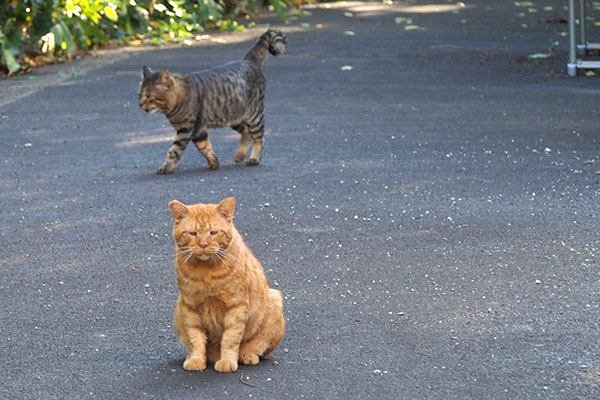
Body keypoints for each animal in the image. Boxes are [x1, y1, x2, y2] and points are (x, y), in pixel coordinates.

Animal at [138, 26, 286, 173]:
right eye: (139, 95)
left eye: (149, 96)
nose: (140, 105)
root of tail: (248, 60)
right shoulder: (198, 131)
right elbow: (205, 148)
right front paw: (214, 162)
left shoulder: (186, 130)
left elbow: (174, 151)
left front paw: (166, 167)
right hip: (234, 117)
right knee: (246, 133)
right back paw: (240, 155)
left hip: (254, 116)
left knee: (259, 138)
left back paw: (254, 158)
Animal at [166, 198, 284, 374]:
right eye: (192, 233)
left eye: (213, 233)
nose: (203, 244)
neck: (206, 272)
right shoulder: (190, 307)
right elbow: (196, 339)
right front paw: (196, 359)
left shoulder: (236, 306)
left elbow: (230, 338)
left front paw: (227, 361)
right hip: (178, 311)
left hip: (274, 301)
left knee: (258, 346)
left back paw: (247, 355)